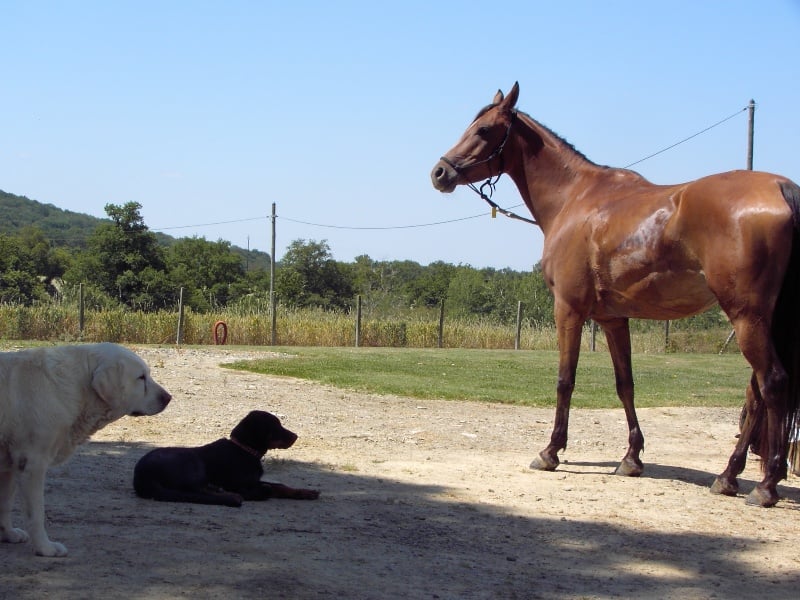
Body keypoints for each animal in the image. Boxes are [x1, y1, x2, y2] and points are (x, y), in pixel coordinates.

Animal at [0, 342, 172, 556]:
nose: (168, 398)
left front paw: (8, 534)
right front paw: (45, 548)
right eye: (141, 377)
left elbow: (5, 503)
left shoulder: (10, 465)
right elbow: (36, 513)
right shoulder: (32, 463)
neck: (75, 387)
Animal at [133, 408, 318, 506]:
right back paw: (230, 496)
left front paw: (306, 492)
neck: (245, 450)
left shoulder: (254, 480)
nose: (296, 436)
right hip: (191, 462)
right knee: (192, 490)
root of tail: (142, 477)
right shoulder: (241, 484)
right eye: (276, 426)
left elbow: (281, 486)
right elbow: (268, 488)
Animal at [432, 83, 800, 506]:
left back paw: (766, 485)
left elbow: (565, 380)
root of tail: (781, 188)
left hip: (746, 318)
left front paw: (550, 451)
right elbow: (626, 385)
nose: (439, 172)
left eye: (484, 130)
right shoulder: (613, 319)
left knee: (772, 384)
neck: (574, 199)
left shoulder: (568, 311)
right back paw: (728, 476)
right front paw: (631, 458)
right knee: (755, 393)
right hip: (757, 321)